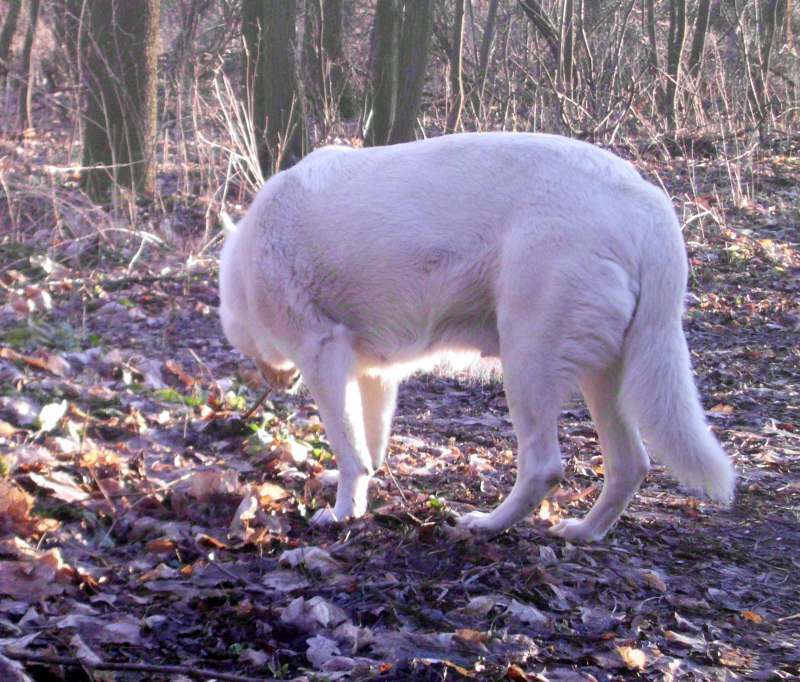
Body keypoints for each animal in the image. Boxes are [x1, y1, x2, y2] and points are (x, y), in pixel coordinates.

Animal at [216, 130, 736, 540]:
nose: (274, 383)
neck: (248, 257)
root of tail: (644, 201)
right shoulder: (374, 376)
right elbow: (370, 445)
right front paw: (358, 491)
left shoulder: (323, 358)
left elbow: (350, 452)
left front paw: (343, 513)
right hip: (605, 376)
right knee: (630, 465)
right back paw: (584, 532)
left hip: (528, 365)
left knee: (544, 467)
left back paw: (487, 524)